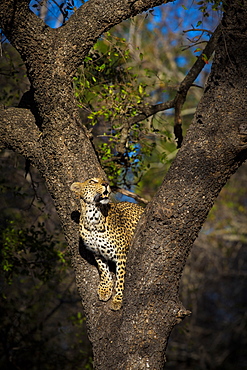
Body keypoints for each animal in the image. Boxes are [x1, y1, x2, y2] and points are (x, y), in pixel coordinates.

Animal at [70, 178, 143, 310]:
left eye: (104, 180)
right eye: (92, 181)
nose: (106, 184)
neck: (92, 217)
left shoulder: (121, 253)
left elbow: (120, 278)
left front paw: (118, 299)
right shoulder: (97, 252)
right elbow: (103, 270)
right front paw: (105, 289)